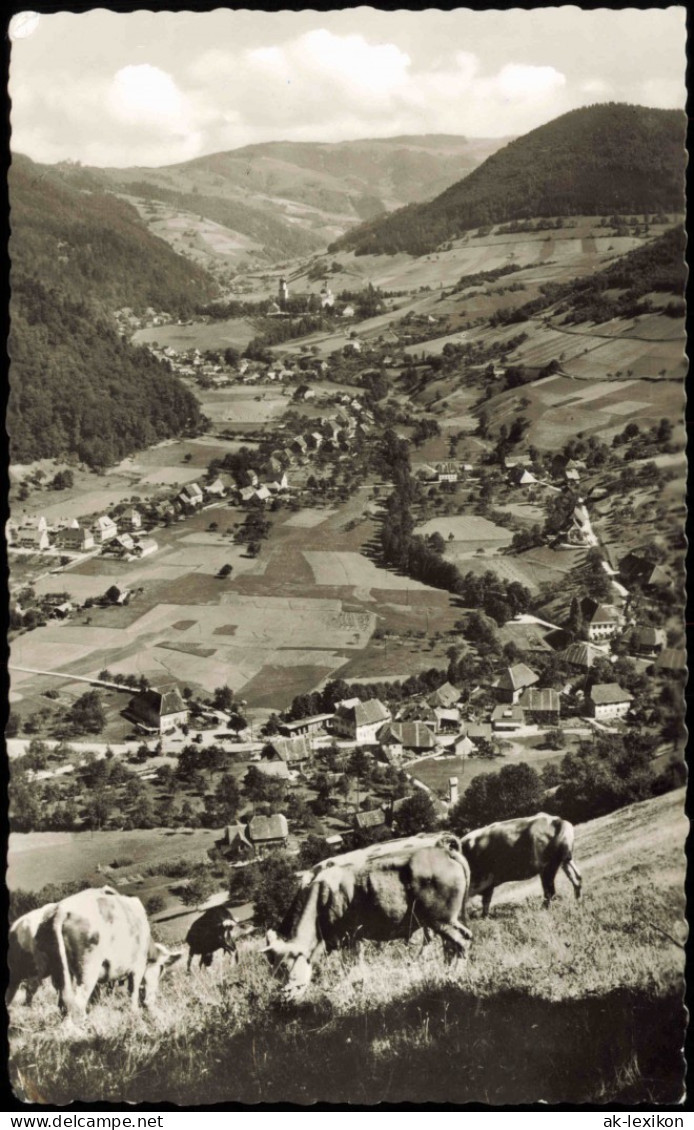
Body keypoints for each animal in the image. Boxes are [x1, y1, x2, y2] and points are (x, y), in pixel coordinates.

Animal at [35, 881, 181, 1026]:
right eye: (161, 970)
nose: (150, 1002)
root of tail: (61, 910)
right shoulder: (137, 967)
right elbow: (132, 992)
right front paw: (135, 1014)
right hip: (88, 968)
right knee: (78, 1003)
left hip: (59, 973)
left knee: (64, 1002)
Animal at [262, 840, 472, 1007]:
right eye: (273, 969)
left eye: (285, 965)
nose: (284, 996)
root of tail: (445, 851)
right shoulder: (356, 938)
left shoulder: (349, 937)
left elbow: (351, 969)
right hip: (445, 920)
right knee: (452, 945)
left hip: (442, 920)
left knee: (462, 941)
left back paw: (453, 977)